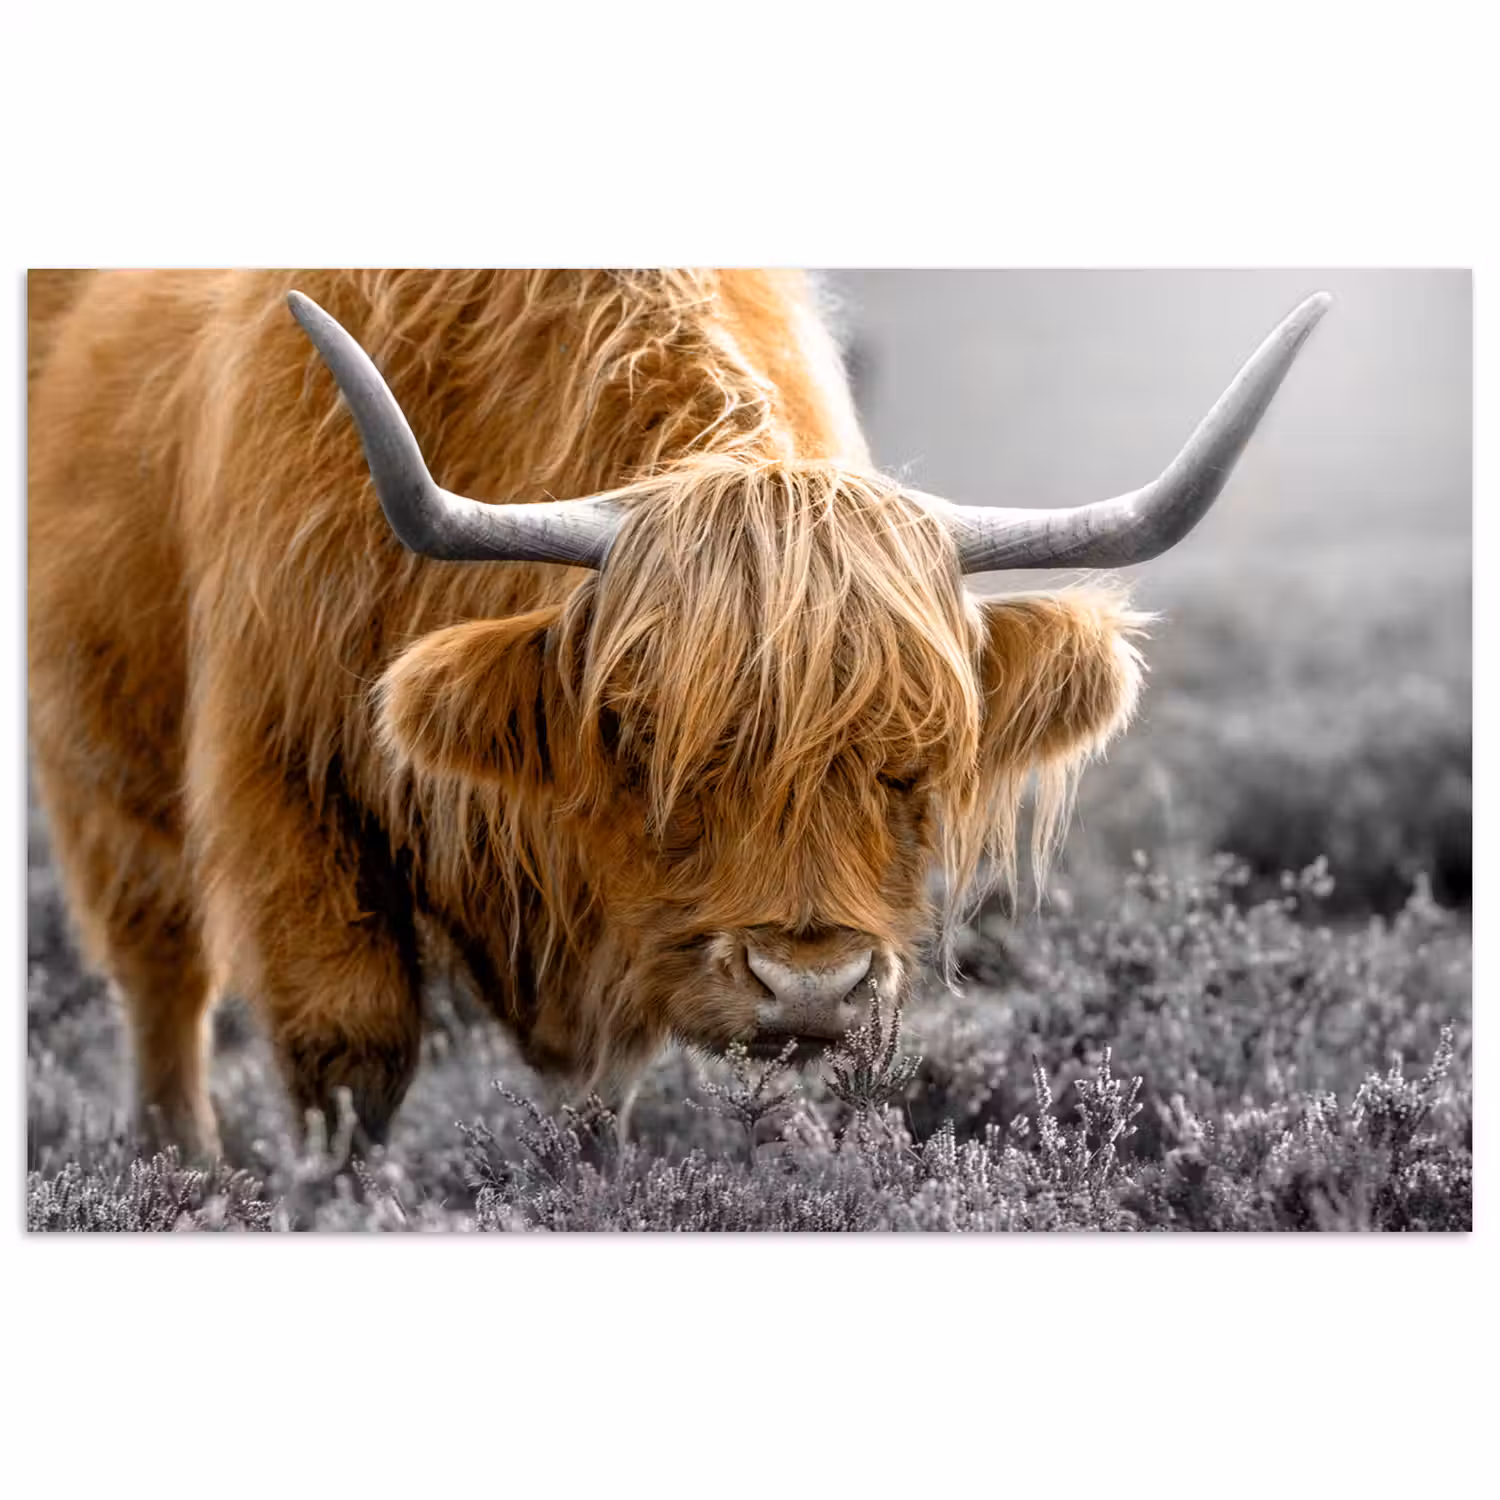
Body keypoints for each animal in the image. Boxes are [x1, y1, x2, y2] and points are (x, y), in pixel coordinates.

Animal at [26, 270, 1328, 1159]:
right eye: (646, 735)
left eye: (914, 757)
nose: (809, 987)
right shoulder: (285, 782)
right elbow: (347, 1053)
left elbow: (604, 1094)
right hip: (96, 770)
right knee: (161, 978)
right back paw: (181, 1170)